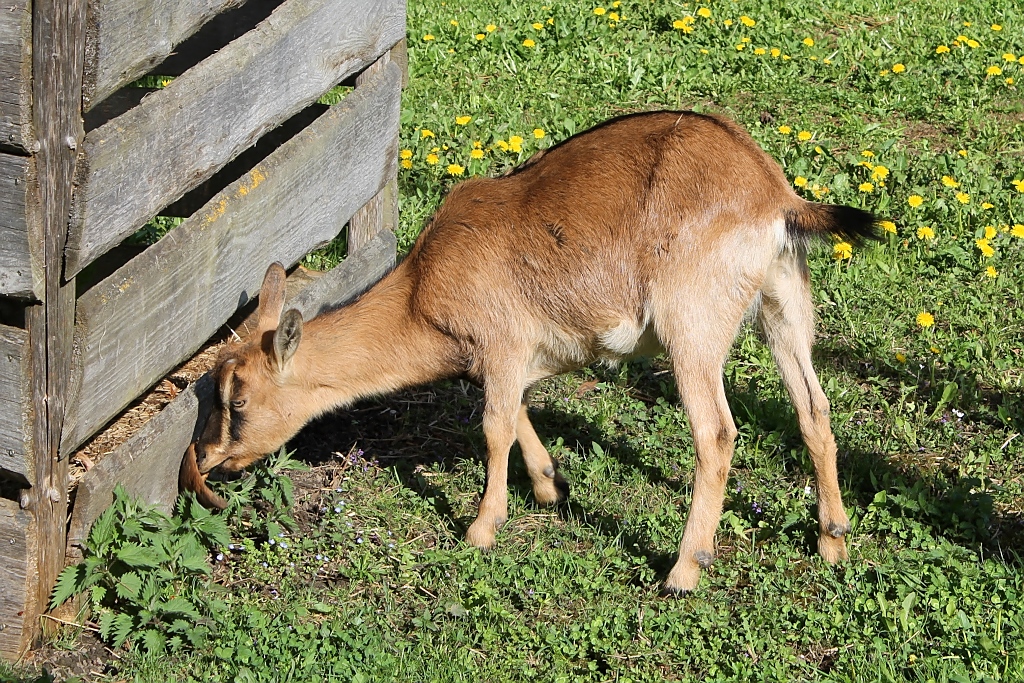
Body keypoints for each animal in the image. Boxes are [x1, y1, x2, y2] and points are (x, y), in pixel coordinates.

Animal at [193, 111, 880, 593]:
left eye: (238, 400)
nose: (208, 461)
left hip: (694, 325)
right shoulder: (510, 357)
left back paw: (684, 569)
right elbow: (517, 408)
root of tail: (775, 197)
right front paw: (551, 488)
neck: (420, 291)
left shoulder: (501, 340)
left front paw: (481, 528)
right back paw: (833, 541)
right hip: (783, 304)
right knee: (813, 409)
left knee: (716, 433)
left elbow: (494, 425)